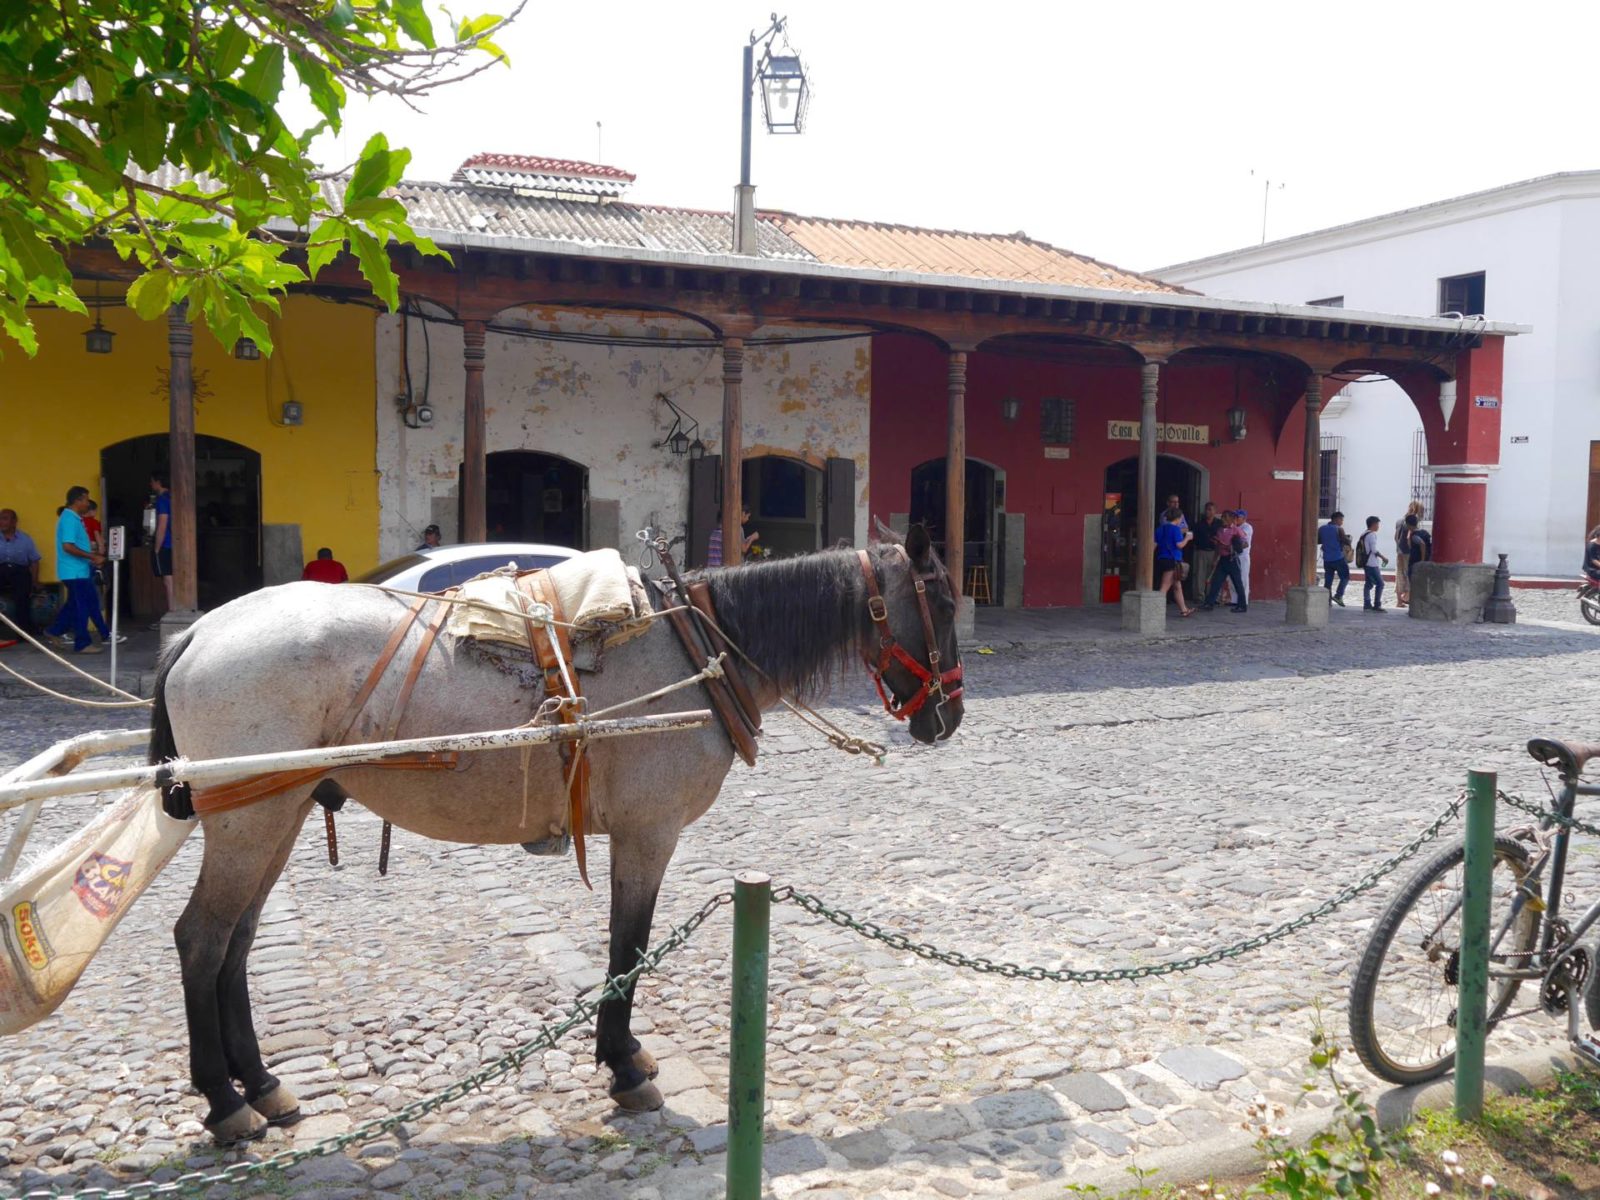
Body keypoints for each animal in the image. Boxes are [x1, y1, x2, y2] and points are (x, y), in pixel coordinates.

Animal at [144, 528, 960, 1145]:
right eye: (945, 603)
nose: (948, 714)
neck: (696, 649)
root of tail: (199, 630)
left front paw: (624, 1054)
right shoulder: (647, 832)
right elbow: (629, 946)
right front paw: (623, 1065)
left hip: (273, 814)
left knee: (238, 942)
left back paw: (263, 1083)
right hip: (251, 821)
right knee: (200, 940)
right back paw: (225, 1101)